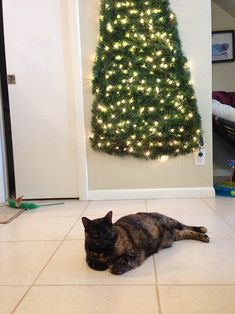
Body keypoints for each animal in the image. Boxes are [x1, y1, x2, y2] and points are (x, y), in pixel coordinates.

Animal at [81, 211, 209, 274]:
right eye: (95, 235)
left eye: (107, 233)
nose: (102, 240)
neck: (104, 251)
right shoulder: (88, 257)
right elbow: (94, 263)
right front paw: (104, 264)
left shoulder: (134, 254)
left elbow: (120, 263)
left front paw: (114, 266)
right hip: (175, 236)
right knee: (186, 232)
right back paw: (203, 236)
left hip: (170, 220)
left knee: (185, 226)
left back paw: (202, 230)